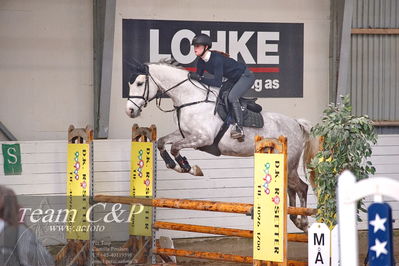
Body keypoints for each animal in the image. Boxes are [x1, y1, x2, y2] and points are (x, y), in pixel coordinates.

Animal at [125, 60, 318, 231]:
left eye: (140, 83)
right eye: (130, 83)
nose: (130, 111)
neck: (190, 99)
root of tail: (296, 123)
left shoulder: (202, 138)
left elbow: (175, 148)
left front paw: (189, 167)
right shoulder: (184, 134)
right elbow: (162, 143)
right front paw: (176, 165)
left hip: (289, 164)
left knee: (301, 187)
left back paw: (303, 223)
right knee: (292, 189)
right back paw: (296, 218)